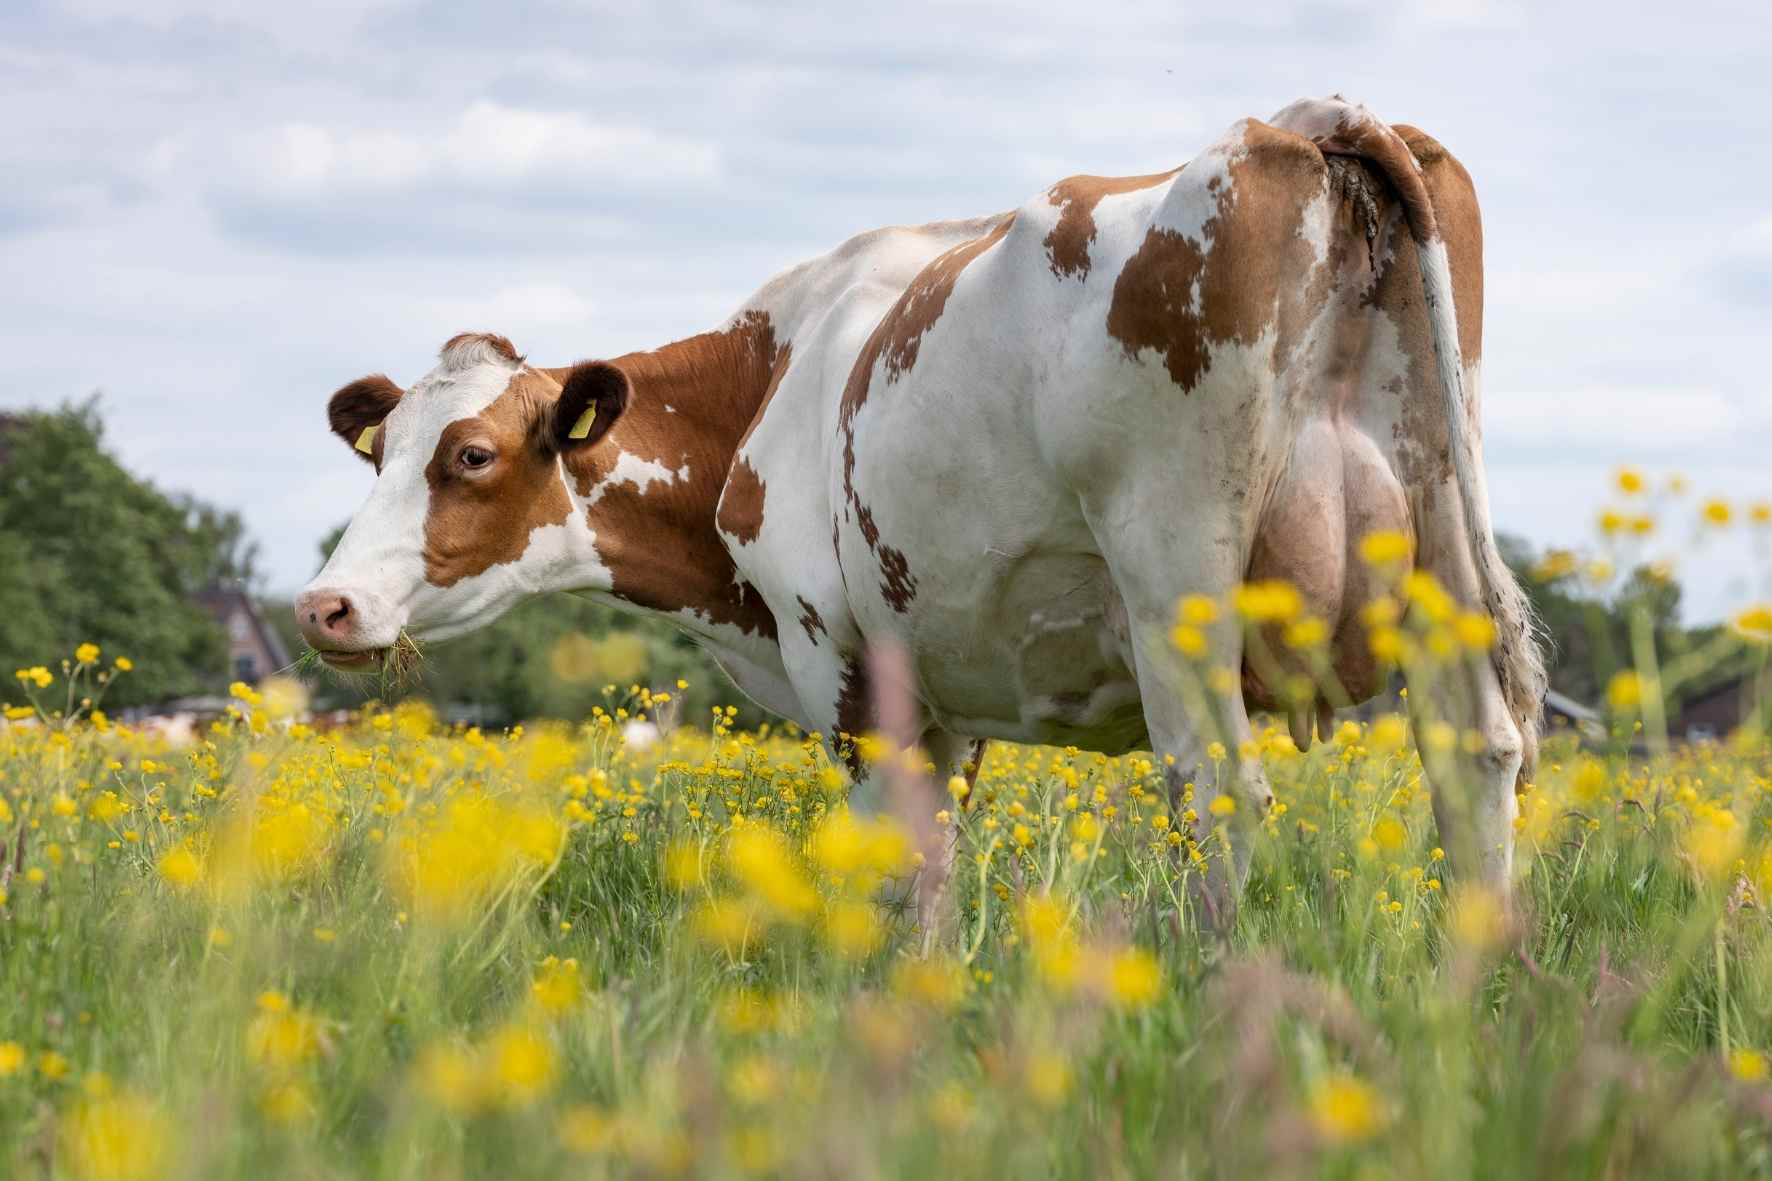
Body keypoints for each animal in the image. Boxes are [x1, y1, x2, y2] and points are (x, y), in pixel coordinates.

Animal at [297, 92, 1545, 922]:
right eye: (379, 452)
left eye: (469, 455)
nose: (324, 605)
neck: (768, 381)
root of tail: (1294, 126)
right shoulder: (945, 687)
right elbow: (935, 874)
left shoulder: (839, 660)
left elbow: (896, 877)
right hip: (1435, 538)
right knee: (1474, 760)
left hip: (1174, 578)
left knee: (1218, 792)